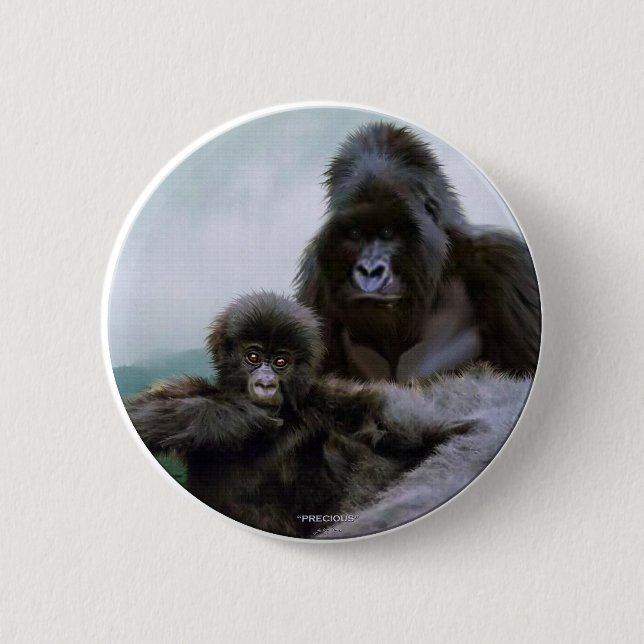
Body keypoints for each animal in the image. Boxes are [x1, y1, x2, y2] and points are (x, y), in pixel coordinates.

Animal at [125, 292, 485, 539]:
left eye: (280, 362)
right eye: (252, 357)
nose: (266, 383)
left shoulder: (322, 400)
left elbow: (377, 417)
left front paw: (446, 430)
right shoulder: (190, 389)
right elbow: (141, 416)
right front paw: (233, 418)